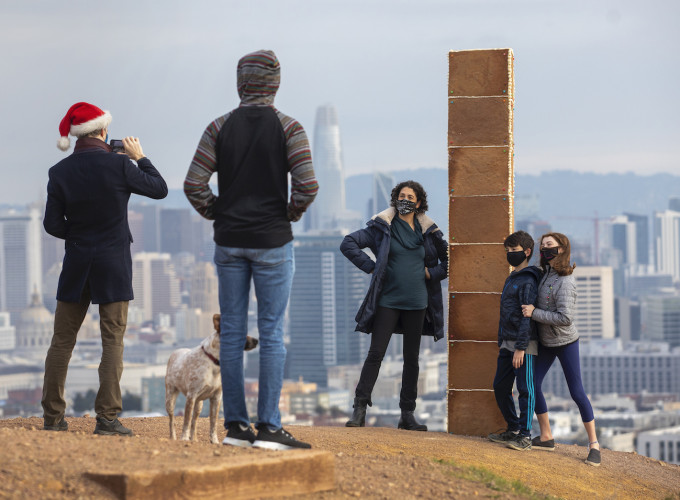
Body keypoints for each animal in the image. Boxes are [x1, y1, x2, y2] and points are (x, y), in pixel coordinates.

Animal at [166, 314, 258, 444]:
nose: (256, 340)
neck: (214, 362)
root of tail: (175, 352)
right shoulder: (191, 396)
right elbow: (186, 421)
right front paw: (184, 438)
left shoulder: (216, 397)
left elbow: (213, 423)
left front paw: (214, 441)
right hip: (170, 398)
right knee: (172, 420)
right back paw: (173, 437)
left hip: (199, 404)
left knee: (194, 422)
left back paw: (194, 439)